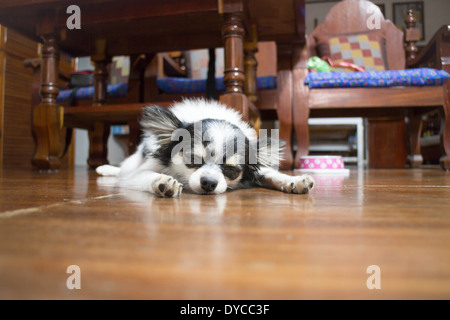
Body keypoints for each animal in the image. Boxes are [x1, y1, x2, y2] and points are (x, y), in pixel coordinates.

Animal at [96, 98, 312, 198]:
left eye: (232, 170)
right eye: (192, 159)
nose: (209, 182)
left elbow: (271, 173)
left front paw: (294, 180)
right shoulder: (140, 173)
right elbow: (148, 176)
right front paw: (163, 182)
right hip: (131, 165)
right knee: (121, 171)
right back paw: (106, 169)